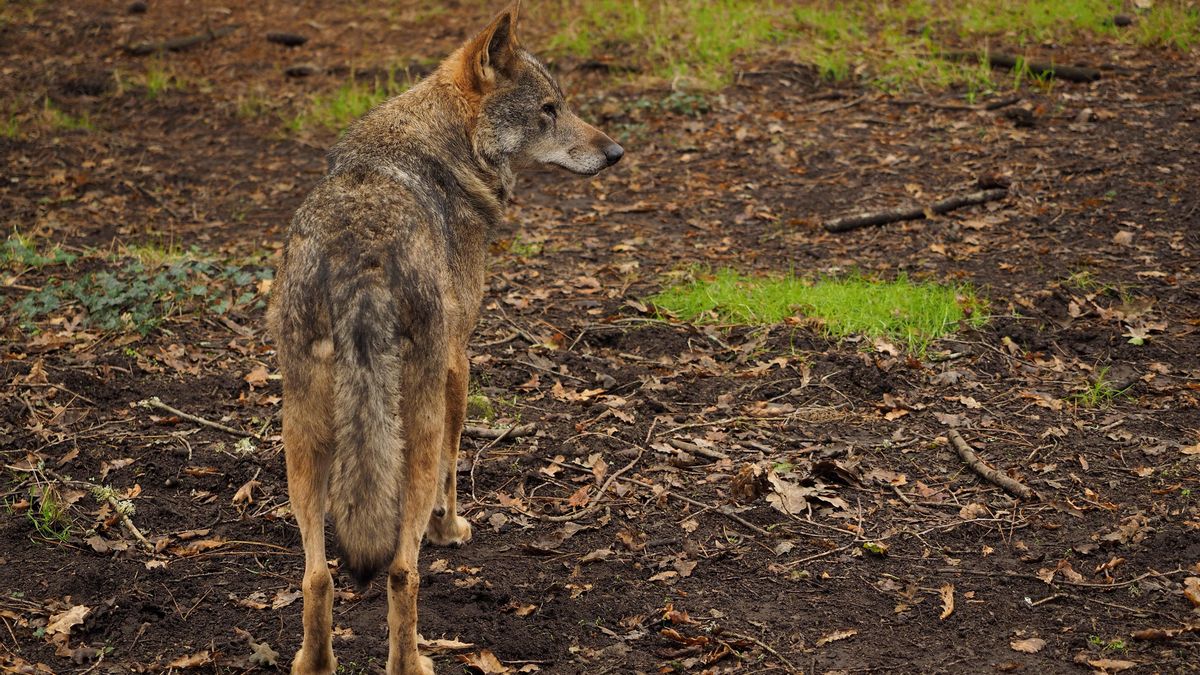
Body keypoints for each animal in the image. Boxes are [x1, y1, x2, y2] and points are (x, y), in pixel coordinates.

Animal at [266, 3, 622, 674]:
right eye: (548, 109)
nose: (615, 152)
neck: (444, 147)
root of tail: (362, 261)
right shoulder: (460, 362)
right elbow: (455, 469)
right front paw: (449, 530)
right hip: (414, 427)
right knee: (402, 571)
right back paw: (413, 661)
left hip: (302, 435)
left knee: (318, 575)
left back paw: (314, 662)